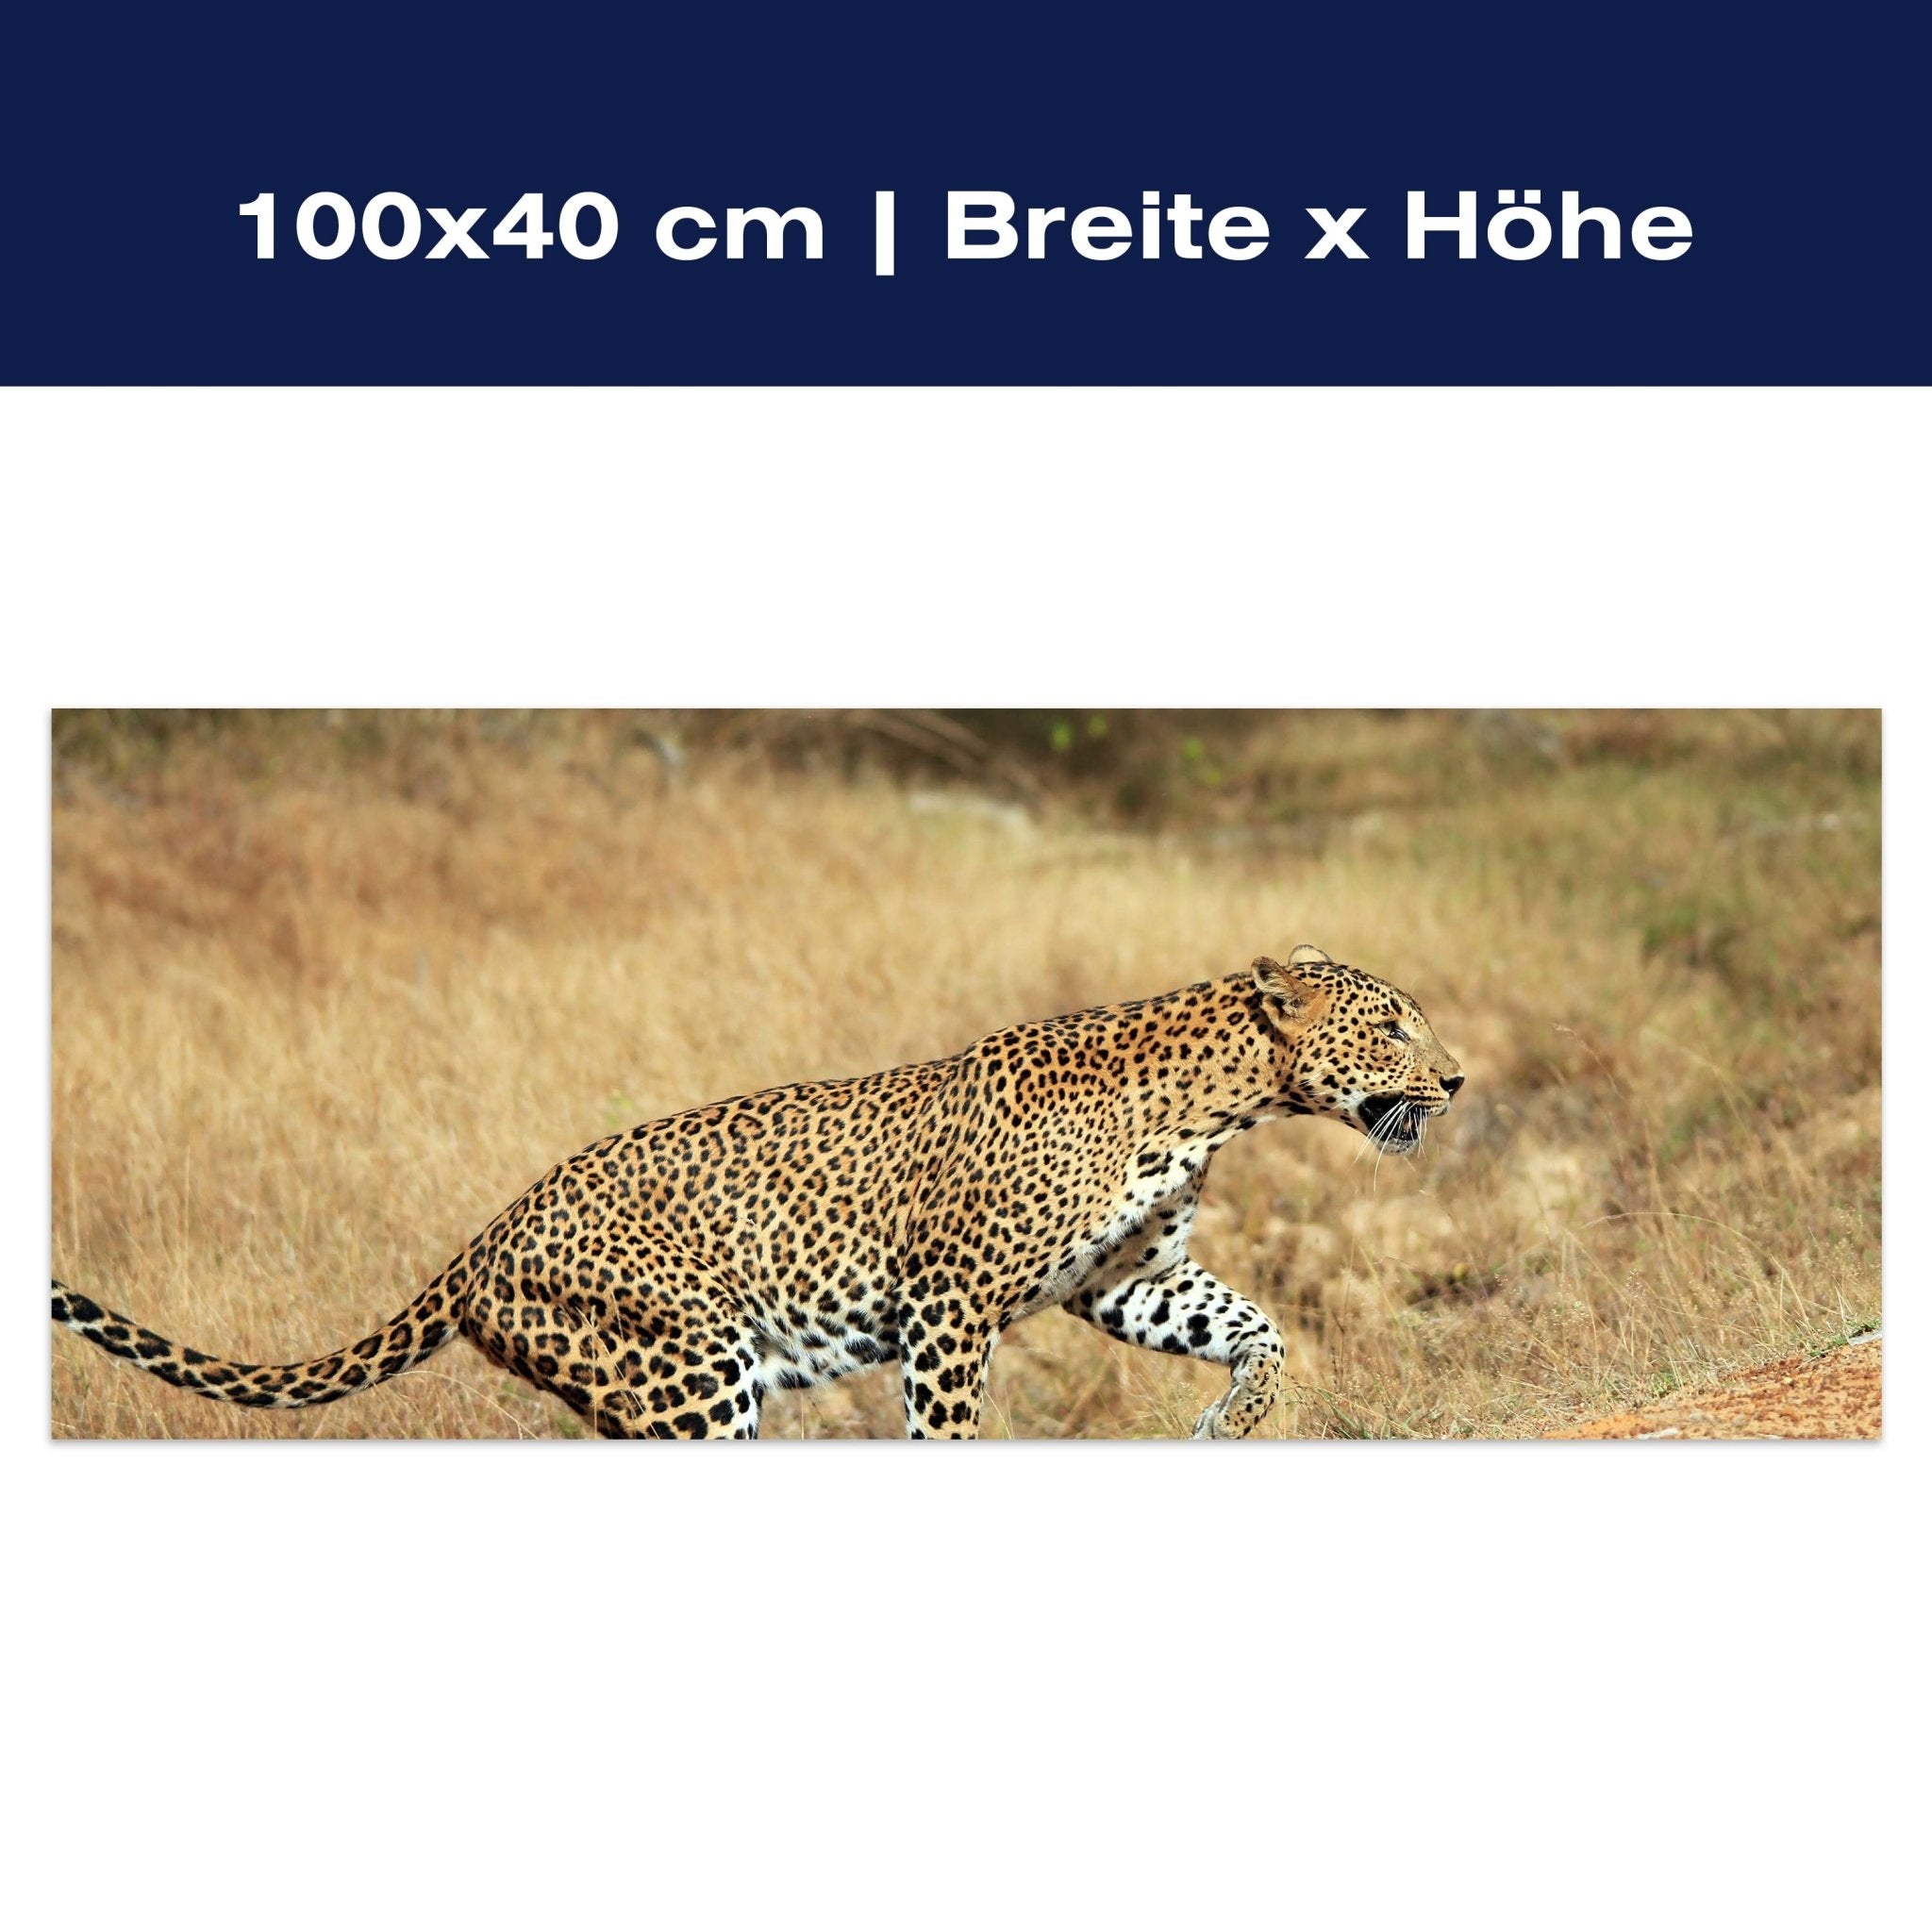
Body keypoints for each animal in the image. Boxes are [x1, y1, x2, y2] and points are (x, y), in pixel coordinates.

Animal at [51, 945, 1463, 1439]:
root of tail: (483, 1236)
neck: (1212, 1102)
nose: (1454, 1079)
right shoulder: (951, 1305)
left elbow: (1256, 1326)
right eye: (1392, 1022)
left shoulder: (1124, 1282)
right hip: (689, 1369)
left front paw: (1238, 1415)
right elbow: (947, 1429)